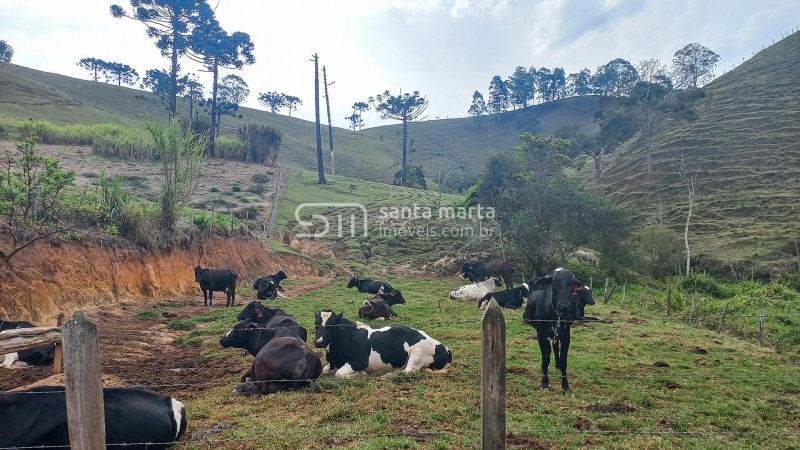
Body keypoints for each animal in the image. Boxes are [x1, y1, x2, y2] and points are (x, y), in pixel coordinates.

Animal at [312, 310, 450, 376]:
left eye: (331, 325)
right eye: (316, 324)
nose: (319, 342)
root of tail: (447, 350)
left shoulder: (360, 362)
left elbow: (339, 374)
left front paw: (360, 374)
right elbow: (325, 370)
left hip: (418, 353)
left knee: (409, 371)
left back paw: (387, 375)